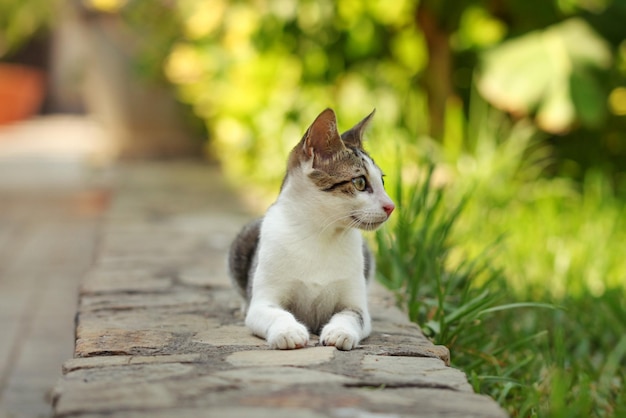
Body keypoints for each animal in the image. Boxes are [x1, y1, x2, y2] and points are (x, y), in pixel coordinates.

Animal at [229, 108, 392, 350]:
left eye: (382, 181)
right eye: (360, 182)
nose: (391, 206)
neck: (320, 234)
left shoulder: (355, 304)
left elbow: (352, 315)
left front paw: (340, 332)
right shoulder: (263, 301)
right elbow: (275, 313)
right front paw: (288, 331)